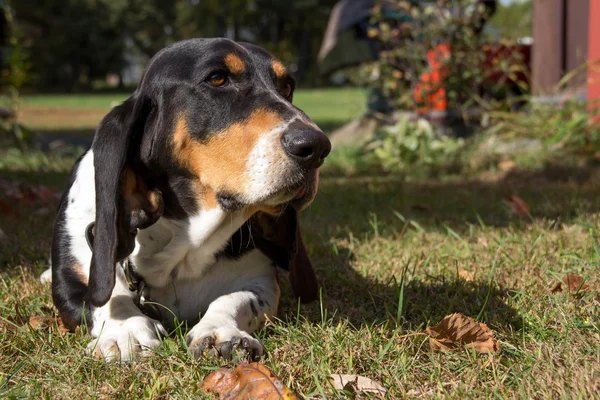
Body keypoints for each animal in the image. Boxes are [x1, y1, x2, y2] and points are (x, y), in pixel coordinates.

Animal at [41, 38, 332, 362]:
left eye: (287, 87)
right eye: (217, 78)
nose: (316, 147)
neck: (181, 244)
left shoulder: (260, 279)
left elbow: (234, 299)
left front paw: (221, 332)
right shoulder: (73, 281)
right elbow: (107, 296)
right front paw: (126, 331)